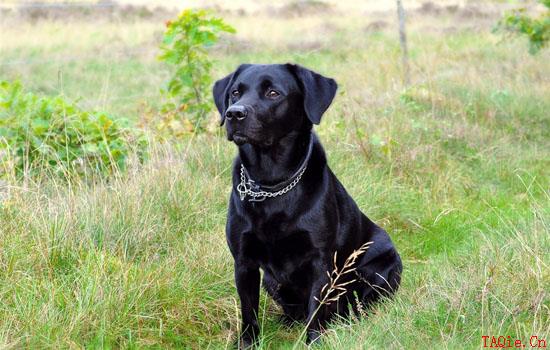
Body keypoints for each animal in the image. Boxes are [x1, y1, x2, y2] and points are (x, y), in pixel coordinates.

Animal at [213, 64, 404, 346]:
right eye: (235, 92)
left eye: (273, 92)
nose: (234, 113)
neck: (271, 184)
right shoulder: (243, 261)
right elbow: (249, 311)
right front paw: (248, 343)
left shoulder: (320, 260)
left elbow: (316, 309)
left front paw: (314, 341)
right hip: (271, 280)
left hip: (381, 268)